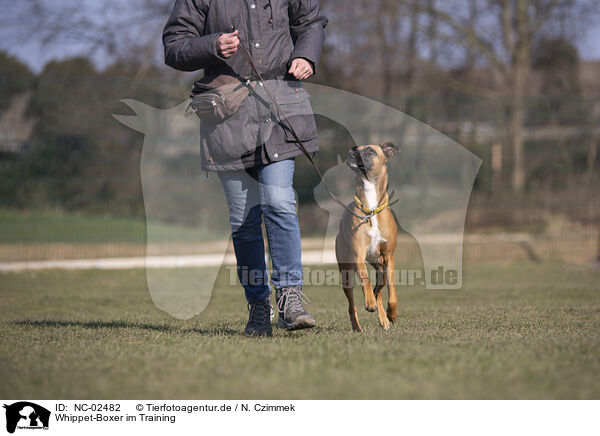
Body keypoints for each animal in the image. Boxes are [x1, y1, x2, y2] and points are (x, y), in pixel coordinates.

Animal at [336, 143, 400, 330]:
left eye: (370, 151)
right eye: (354, 149)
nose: (350, 154)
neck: (371, 209)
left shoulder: (388, 256)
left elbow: (392, 291)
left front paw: (392, 313)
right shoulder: (358, 256)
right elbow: (365, 280)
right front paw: (369, 302)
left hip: (378, 264)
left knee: (381, 285)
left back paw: (384, 317)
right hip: (347, 272)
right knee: (352, 305)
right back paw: (358, 325)